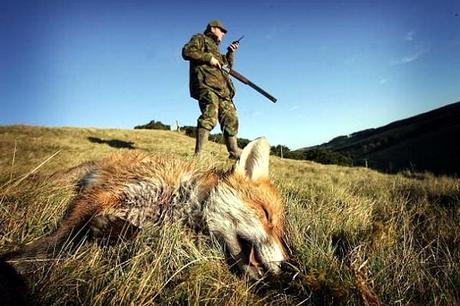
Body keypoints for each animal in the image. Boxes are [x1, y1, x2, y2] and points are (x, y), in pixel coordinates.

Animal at [1, 137, 288, 278]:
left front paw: (109, 230)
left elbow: (132, 232)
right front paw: (24, 261)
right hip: (67, 180)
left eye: (282, 233)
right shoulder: (103, 194)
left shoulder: (147, 220)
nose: (287, 268)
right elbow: (63, 237)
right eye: (266, 215)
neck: (179, 200)